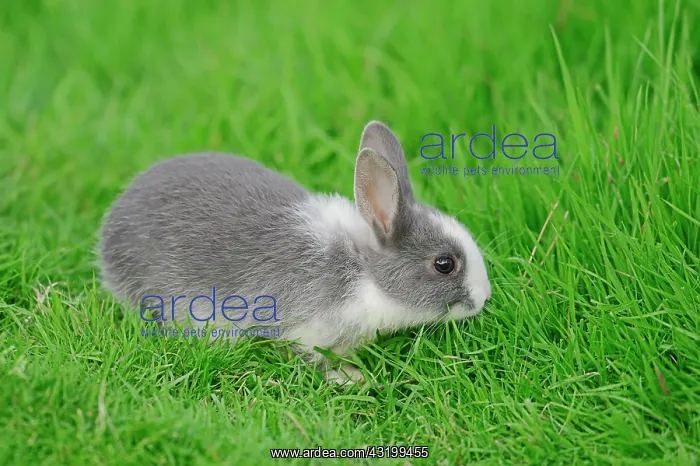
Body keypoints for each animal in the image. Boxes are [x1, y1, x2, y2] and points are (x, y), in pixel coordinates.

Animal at [98, 120, 492, 384]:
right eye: (445, 264)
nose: (484, 298)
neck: (364, 271)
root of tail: (108, 232)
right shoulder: (303, 329)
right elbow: (311, 358)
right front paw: (351, 378)